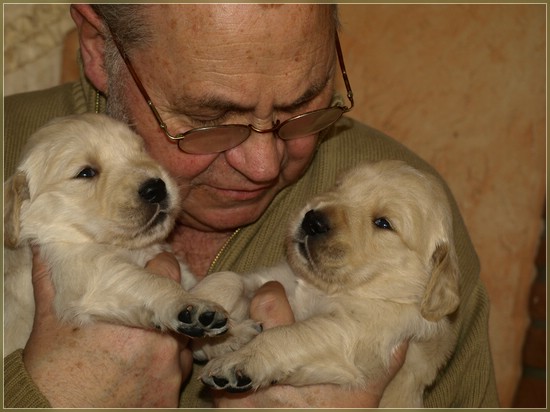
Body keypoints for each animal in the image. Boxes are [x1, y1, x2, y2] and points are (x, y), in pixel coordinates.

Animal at [3, 113, 229, 355]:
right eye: (86, 173)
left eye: (141, 150)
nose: (156, 188)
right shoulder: (85, 269)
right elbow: (148, 281)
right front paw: (188, 304)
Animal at [190, 160, 460, 407]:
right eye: (338, 186)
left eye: (383, 223)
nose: (312, 221)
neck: (325, 289)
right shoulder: (281, 280)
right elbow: (230, 279)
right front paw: (196, 307)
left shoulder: (355, 332)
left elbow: (289, 334)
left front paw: (240, 359)